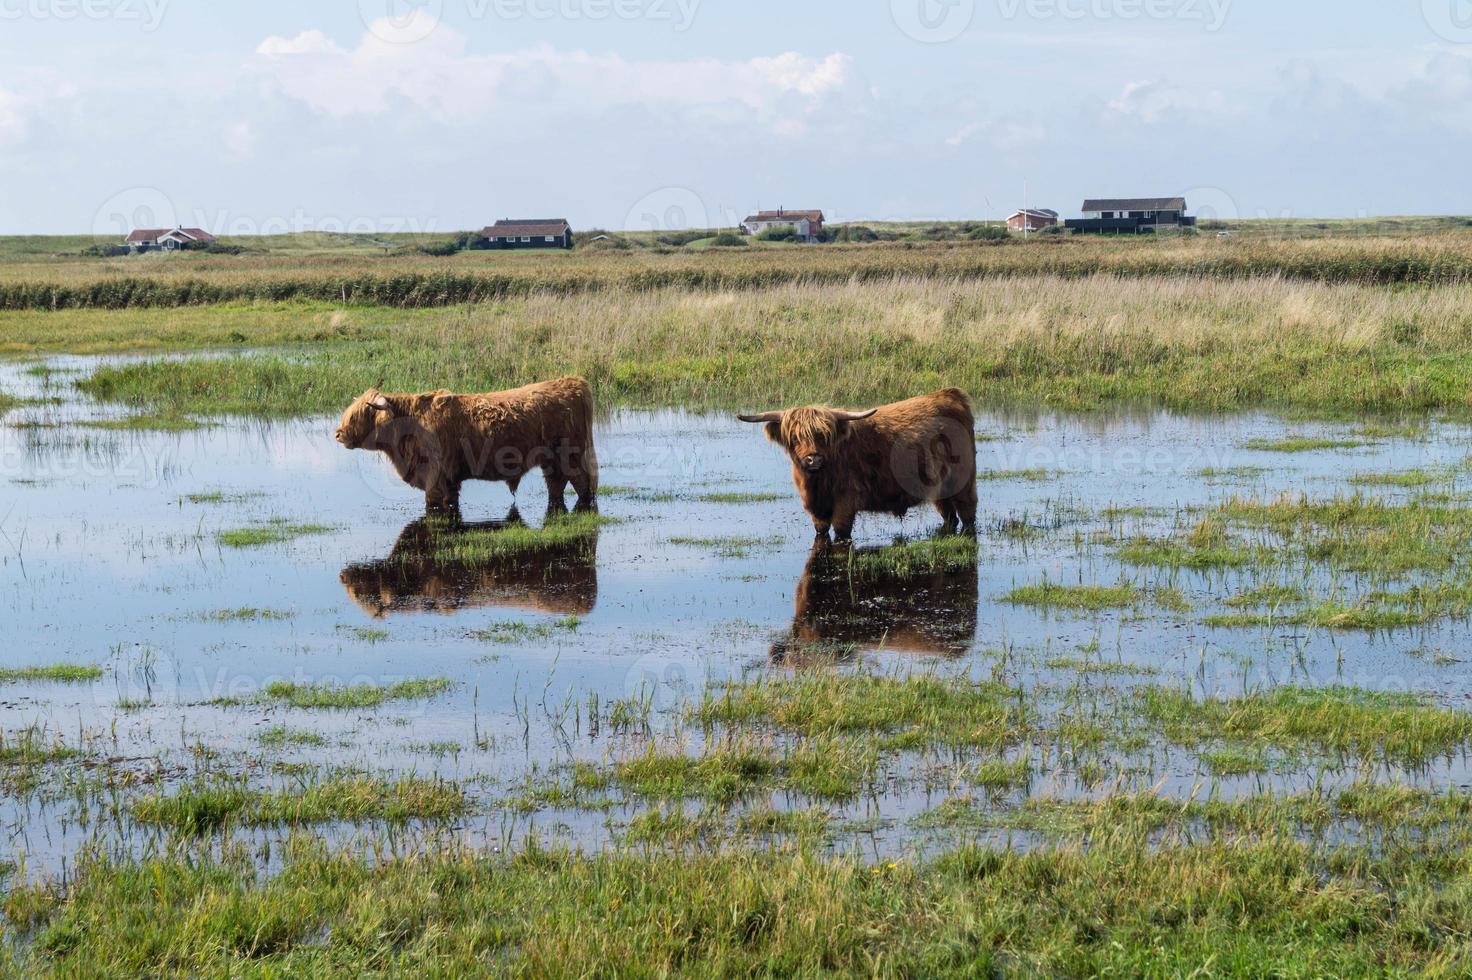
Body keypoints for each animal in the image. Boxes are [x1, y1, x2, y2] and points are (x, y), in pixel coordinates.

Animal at [337, 375, 597, 512]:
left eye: (360, 414)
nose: (338, 434)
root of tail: (573, 382)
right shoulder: (450, 482)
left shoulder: (434, 480)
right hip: (551, 463)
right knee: (556, 487)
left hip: (571, 457)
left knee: (584, 487)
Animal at [736, 388, 977, 541]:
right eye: (794, 438)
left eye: (825, 436)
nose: (813, 459)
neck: (818, 483)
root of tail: (949, 394)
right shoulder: (816, 511)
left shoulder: (846, 503)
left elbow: (842, 534)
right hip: (940, 488)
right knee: (949, 515)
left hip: (963, 480)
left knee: (967, 513)